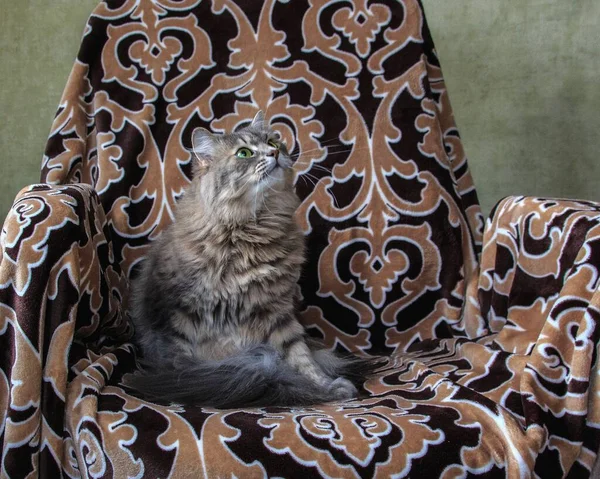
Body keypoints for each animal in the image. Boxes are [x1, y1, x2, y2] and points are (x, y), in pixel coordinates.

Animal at [125, 112, 380, 408]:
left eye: (273, 142)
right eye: (244, 153)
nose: (274, 153)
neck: (250, 229)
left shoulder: (277, 310)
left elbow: (301, 356)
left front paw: (325, 387)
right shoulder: (178, 317)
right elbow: (182, 367)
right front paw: (193, 385)